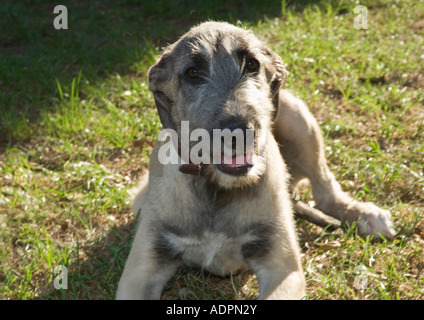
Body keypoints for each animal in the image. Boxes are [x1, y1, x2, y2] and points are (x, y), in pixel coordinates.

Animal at [116, 21, 394, 298]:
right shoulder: (140, 273)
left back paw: (365, 215)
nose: (239, 131)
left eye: (252, 64)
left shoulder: (283, 268)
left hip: (297, 118)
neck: (218, 190)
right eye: (192, 72)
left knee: (325, 189)